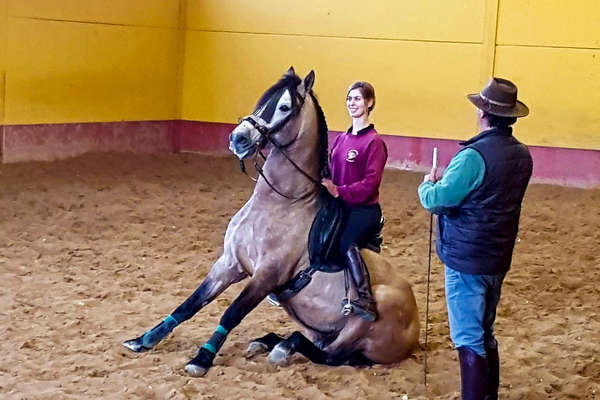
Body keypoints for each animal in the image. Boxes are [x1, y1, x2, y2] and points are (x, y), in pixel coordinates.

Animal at [123, 67, 420, 376]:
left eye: (284, 107)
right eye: (261, 101)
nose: (238, 138)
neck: (281, 203)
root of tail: (414, 332)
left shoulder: (267, 275)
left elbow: (232, 312)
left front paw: (201, 359)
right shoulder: (229, 263)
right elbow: (191, 303)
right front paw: (144, 340)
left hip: (362, 324)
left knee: (329, 355)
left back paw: (282, 347)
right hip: (320, 328)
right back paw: (267, 342)